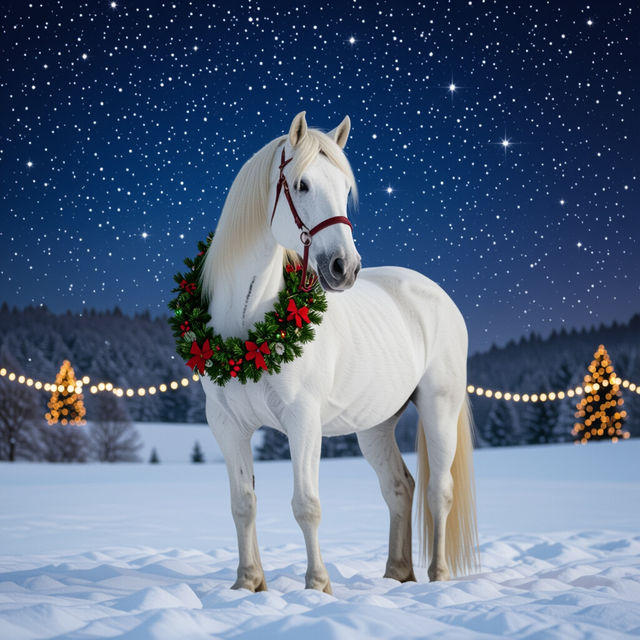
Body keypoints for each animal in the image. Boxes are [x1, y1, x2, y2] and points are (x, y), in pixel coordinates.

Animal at [199, 111, 479, 594]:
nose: (344, 269)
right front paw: (248, 584)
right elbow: (243, 503)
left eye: (346, 189)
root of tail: (436, 293)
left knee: (437, 491)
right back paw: (397, 573)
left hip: (439, 407)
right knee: (400, 487)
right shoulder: (227, 425)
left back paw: (438, 577)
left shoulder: (302, 420)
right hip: (375, 424)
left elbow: (306, 504)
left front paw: (318, 585)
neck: (247, 326)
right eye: (302, 184)